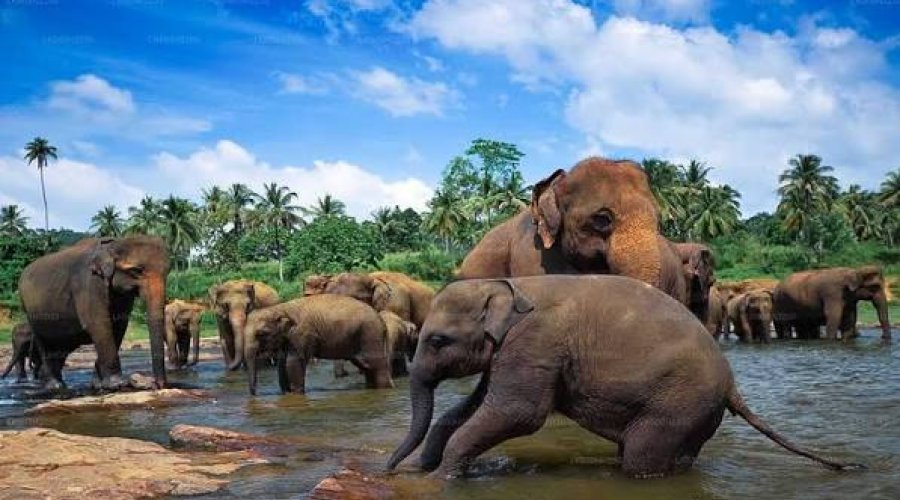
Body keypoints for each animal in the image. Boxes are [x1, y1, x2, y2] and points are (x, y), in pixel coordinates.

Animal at [18, 236, 169, 389]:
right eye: (137, 270)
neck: (112, 245)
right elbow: (99, 325)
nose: (158, 384)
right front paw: (116, 384)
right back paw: (55, 386)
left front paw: (98, 385)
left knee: (60, 348)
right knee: (44, 344)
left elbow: (119, 326)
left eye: (167, 272)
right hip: (30, 313)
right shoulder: (89, 284)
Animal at [243, 294, 394, 395]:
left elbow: (294, 362)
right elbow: (282, 363)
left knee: (376, 366)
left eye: (262, 333)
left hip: (370, 335)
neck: (280, 308)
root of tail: (382, 321)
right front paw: (286, 393)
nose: (254, 395)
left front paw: (295, 394)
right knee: (367, 367)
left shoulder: (302, 334)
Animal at [386, 276, 861, 479]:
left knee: (640, 458)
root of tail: (732, 385)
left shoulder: (535, 343)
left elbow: (519, 413)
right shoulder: (514, 351)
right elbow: (474, 405)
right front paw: (424, 468)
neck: (506, 285)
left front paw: (442, 478)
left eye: (438, 341)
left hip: (678, 404)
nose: (389, 469)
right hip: (694, 411)